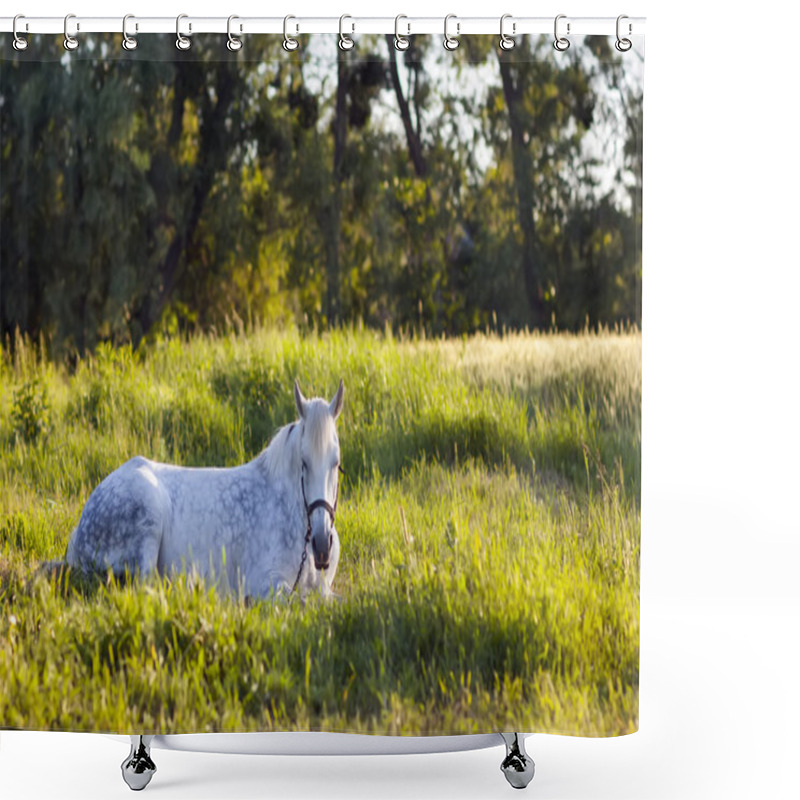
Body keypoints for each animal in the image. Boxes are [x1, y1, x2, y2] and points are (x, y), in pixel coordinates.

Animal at [66, 382, 344, 600]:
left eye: (336, 463)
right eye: (303, 463)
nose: (322, 544)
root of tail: (79, 529)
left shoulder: (323, 589)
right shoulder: (265, 585)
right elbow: (301, 602)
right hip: (147, 517)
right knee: (148, 588)